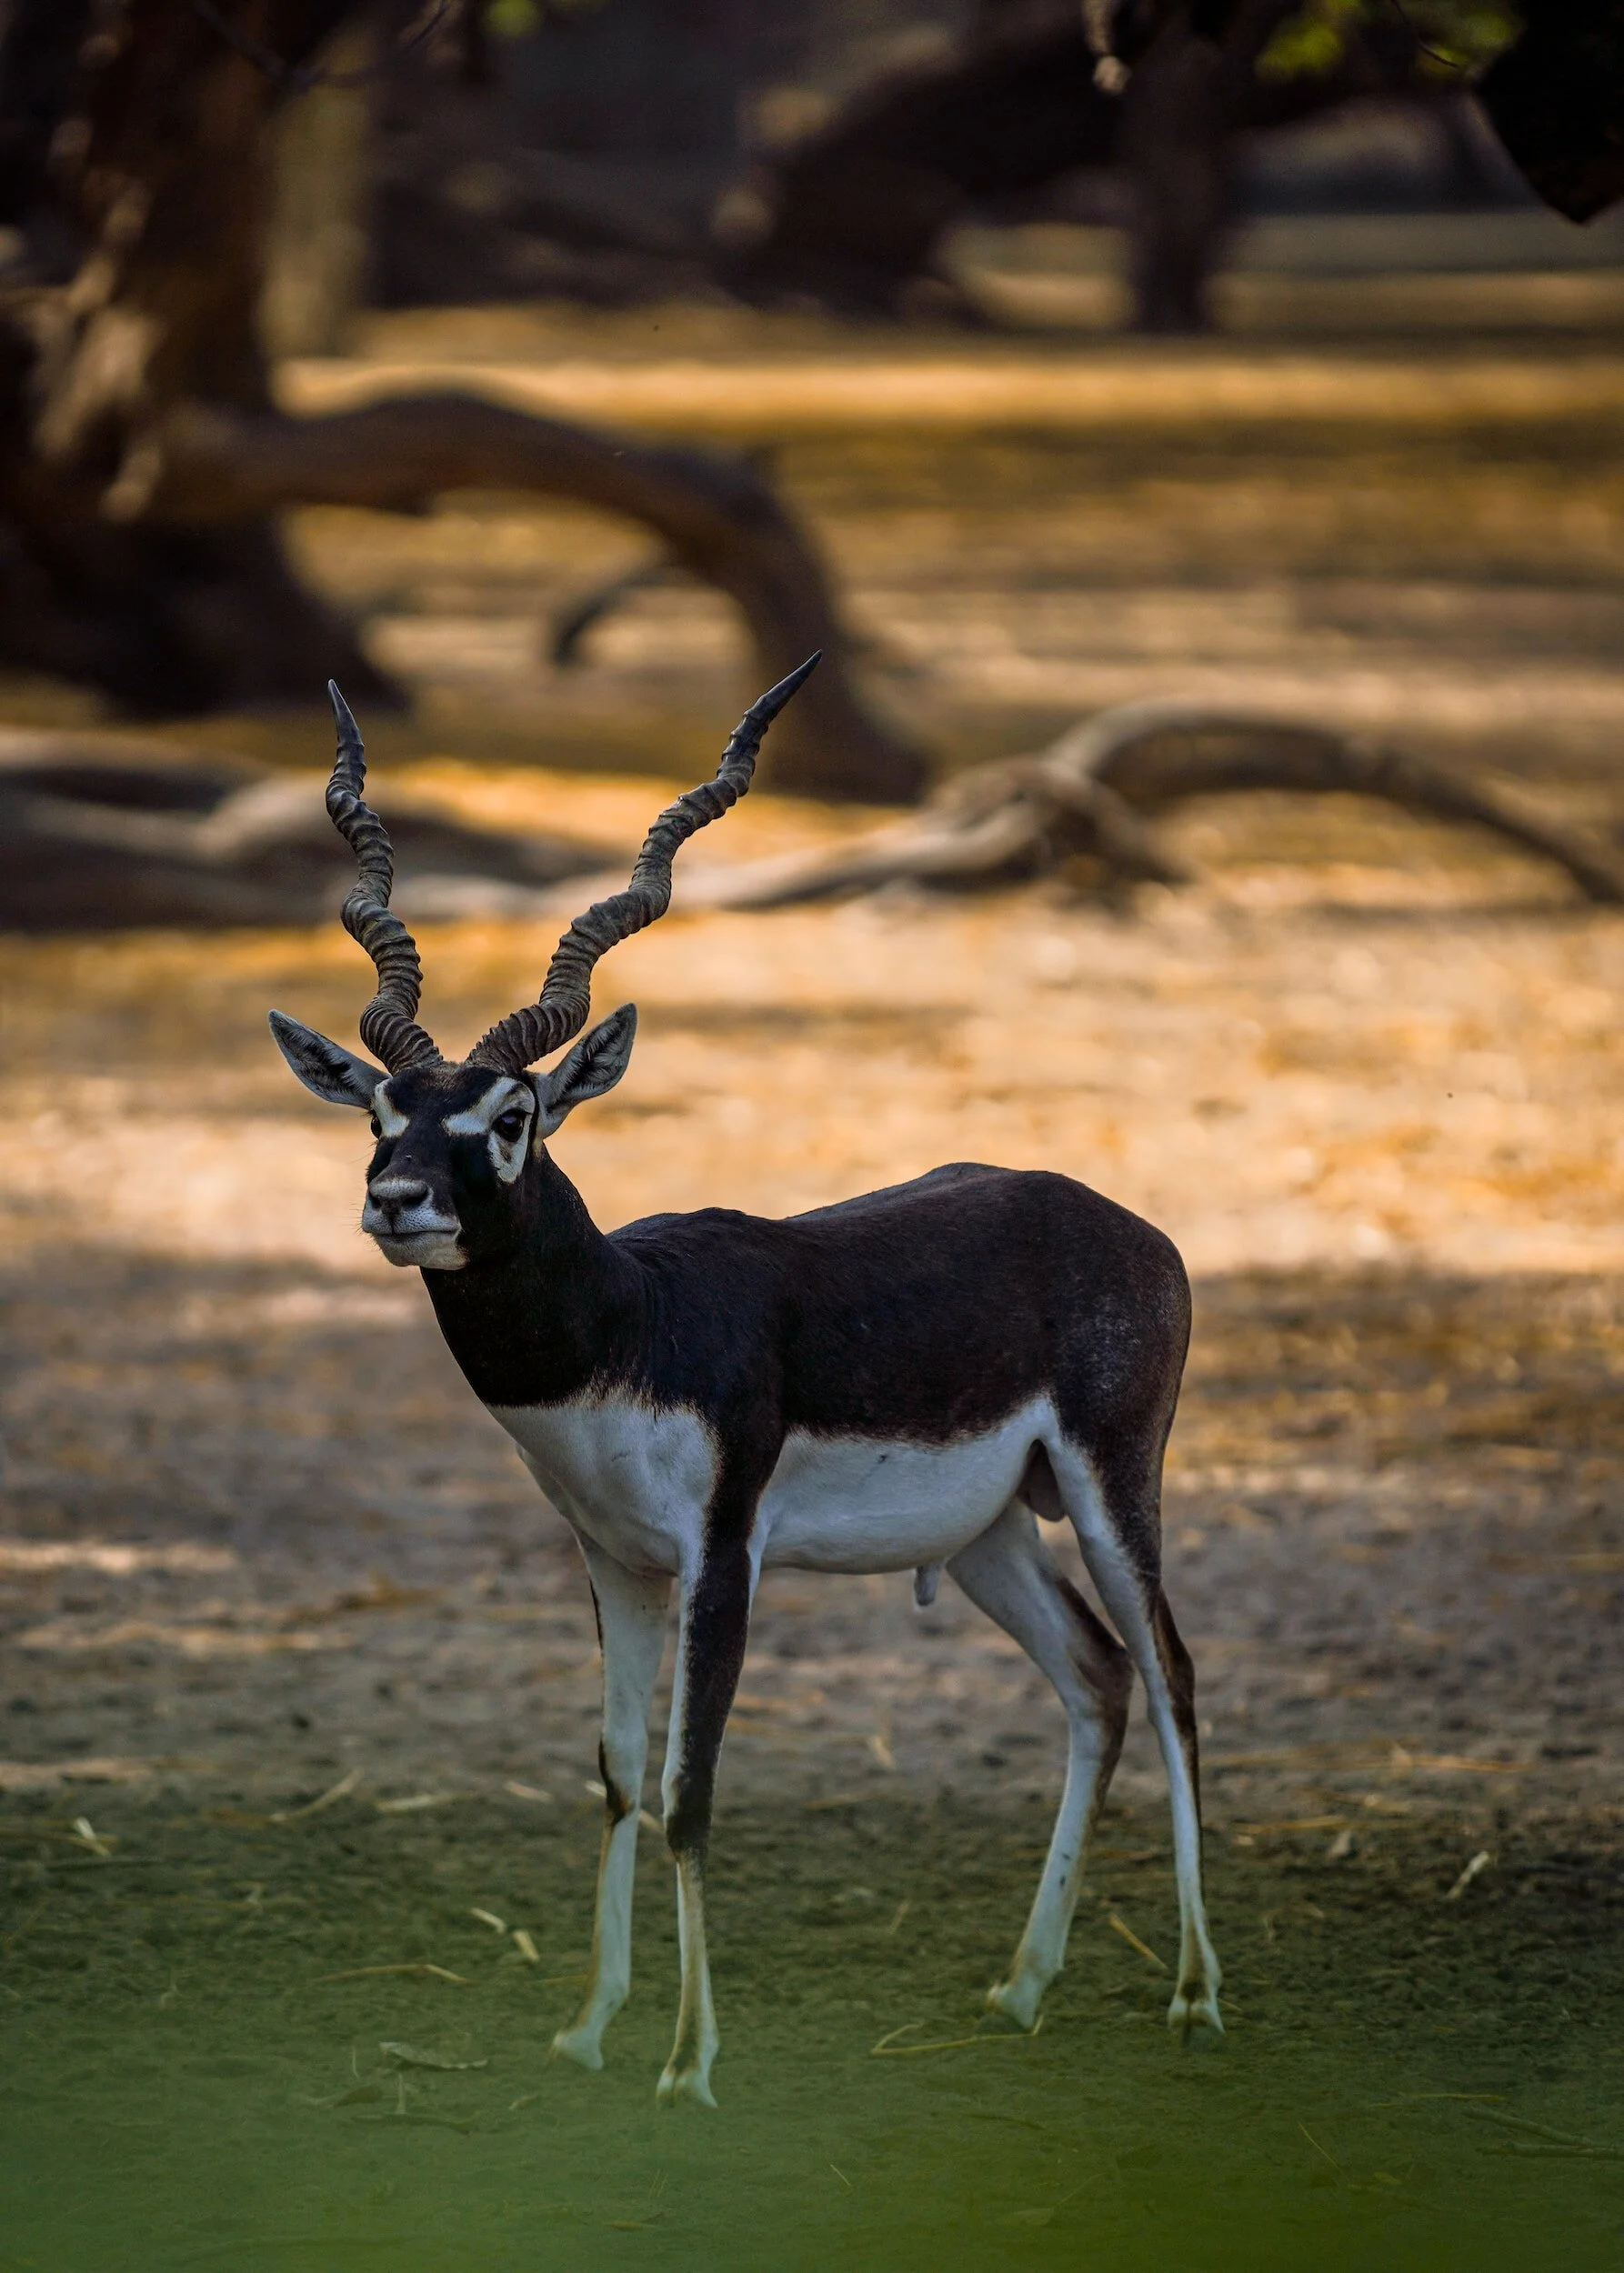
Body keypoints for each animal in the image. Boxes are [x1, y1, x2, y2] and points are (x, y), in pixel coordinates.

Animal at [270, 664, 1222, 2106]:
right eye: (382, 1112)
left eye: (511, 1118)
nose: (398, 1202)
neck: (629, 1322)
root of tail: (1127, 1226)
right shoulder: (611, 1561)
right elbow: (617, 1772)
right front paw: (588, 2026)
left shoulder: (724, 1554)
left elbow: (691, 1786)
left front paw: (685, 2064)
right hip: (992, 1531)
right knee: (1098, 1680)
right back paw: (1020, 1987)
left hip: (1117, 1486)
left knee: (1169, 1678)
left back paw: (1193, 1997)